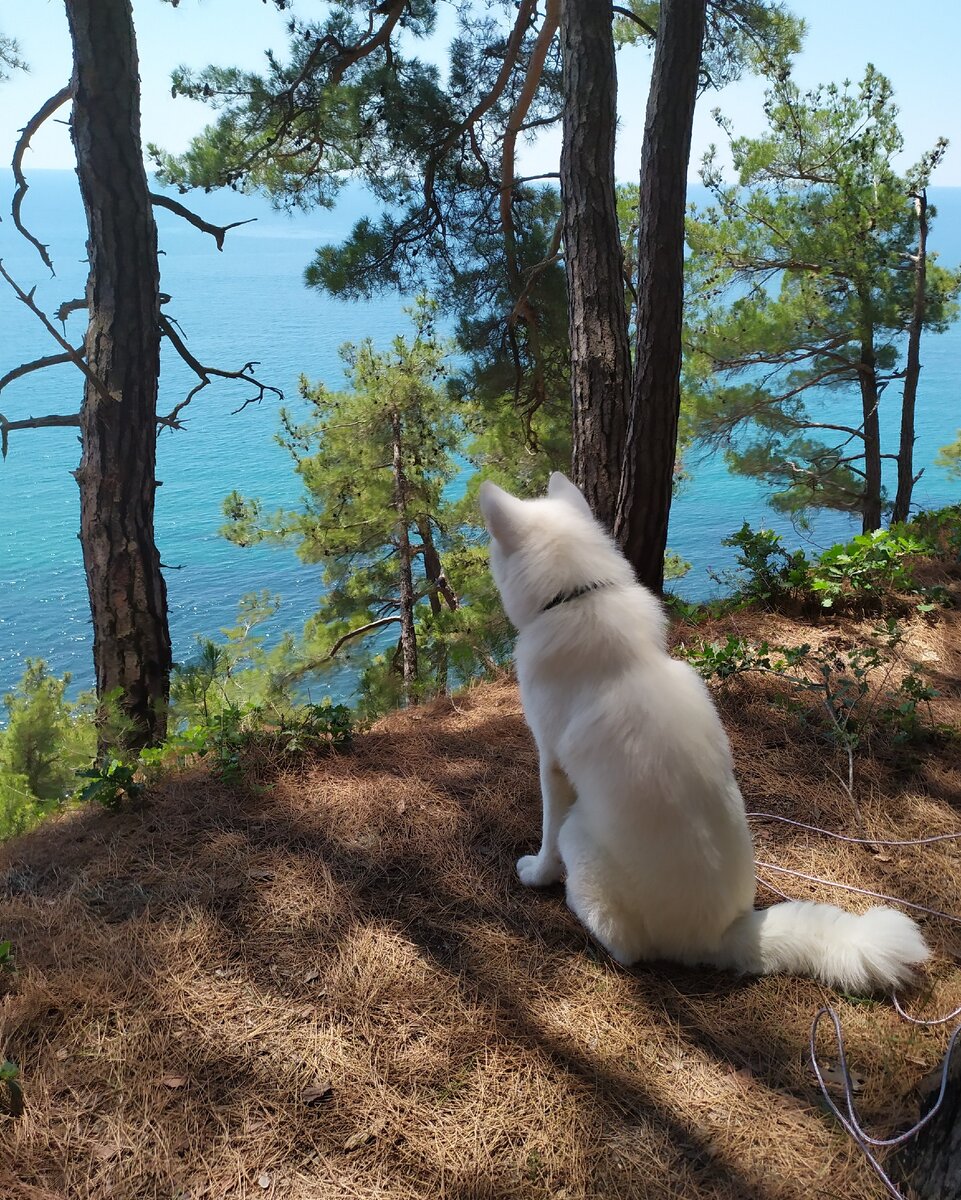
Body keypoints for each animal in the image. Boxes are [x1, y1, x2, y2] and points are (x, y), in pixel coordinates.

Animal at [479, 470, 931, 993]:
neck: (578, 595)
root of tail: (722, 935)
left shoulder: (551, 768)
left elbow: (546, 833)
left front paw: (537, 873)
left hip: (582, 837)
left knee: (626, 946)